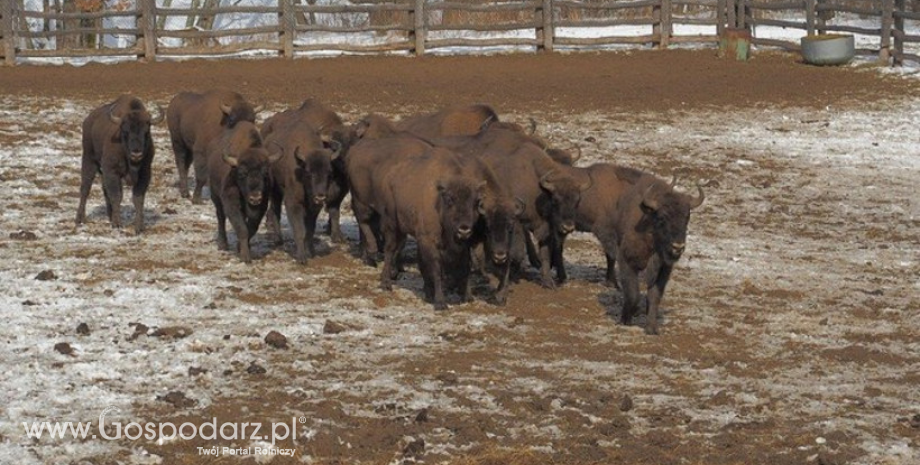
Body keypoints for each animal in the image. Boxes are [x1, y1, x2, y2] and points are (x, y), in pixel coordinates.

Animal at [76, 94, 164, 234]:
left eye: (146, 131)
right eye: (125, 131)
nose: (136, 153)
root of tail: (88, 120)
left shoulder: (145, 174)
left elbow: (138, 199)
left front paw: (139, 227)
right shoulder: (112, 172)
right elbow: (116, 196)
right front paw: (117, 224)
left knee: (104, 190)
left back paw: (109, 215)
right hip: (89, 160)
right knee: (85, 188)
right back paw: (80, 219)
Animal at [260, 113, 340, 264]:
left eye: (330, 173)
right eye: (309, 173)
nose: (320, 196)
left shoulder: (314, 208)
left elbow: (310, 230)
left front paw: (311, 252)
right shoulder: (293, 204)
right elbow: (299, 230)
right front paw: (301, 258)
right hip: (275, 191)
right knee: (275, 211)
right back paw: (278, 240)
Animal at [264, 98, 358, 243]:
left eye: (354, 143)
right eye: (337, 143)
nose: (349, 162)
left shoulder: (339, 192)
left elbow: (334, 212)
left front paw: (336, 234)